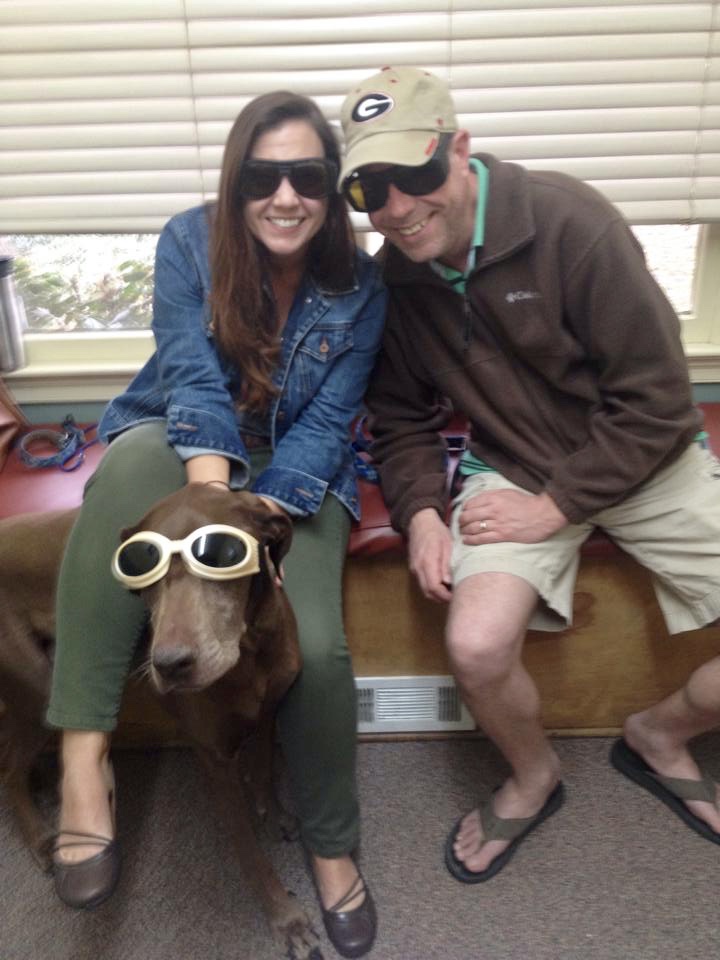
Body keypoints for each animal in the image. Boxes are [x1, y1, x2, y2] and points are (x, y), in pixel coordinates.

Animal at [0, 484, 324, 960]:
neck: (249, 651)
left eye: (220, 555)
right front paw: (286, 919)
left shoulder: (268, 711)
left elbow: (264, 767)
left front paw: (273, 813)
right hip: (38, 691)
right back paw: (42, 838)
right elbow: (249, 852)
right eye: (141, 569)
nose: (170, 665)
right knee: (9, 765)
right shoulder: (214, 760)